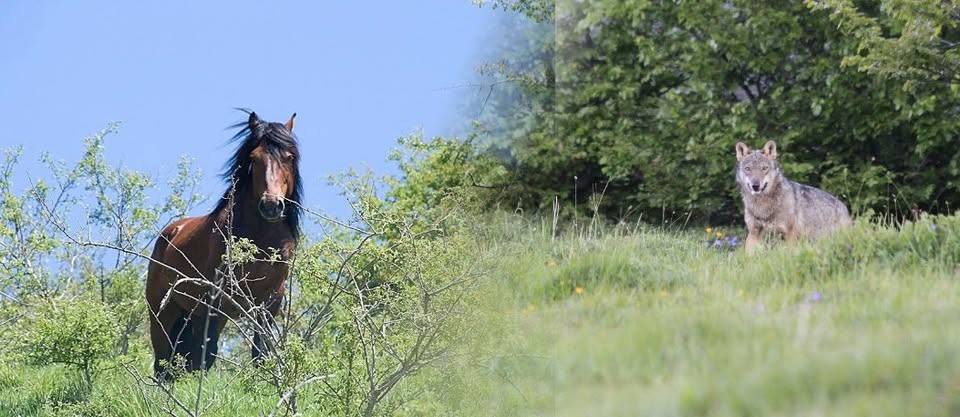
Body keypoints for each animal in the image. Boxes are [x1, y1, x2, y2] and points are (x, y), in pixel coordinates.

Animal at [145, 110, 302, 379]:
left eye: (289, 157)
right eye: (254, 158)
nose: (271, 206)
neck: (261, 240)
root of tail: (170, 233)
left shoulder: (270, 303)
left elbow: (260, 352)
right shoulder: (215, 301)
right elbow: (207, 355)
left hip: (193, 315)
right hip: (164, 313)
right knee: (164, 364)